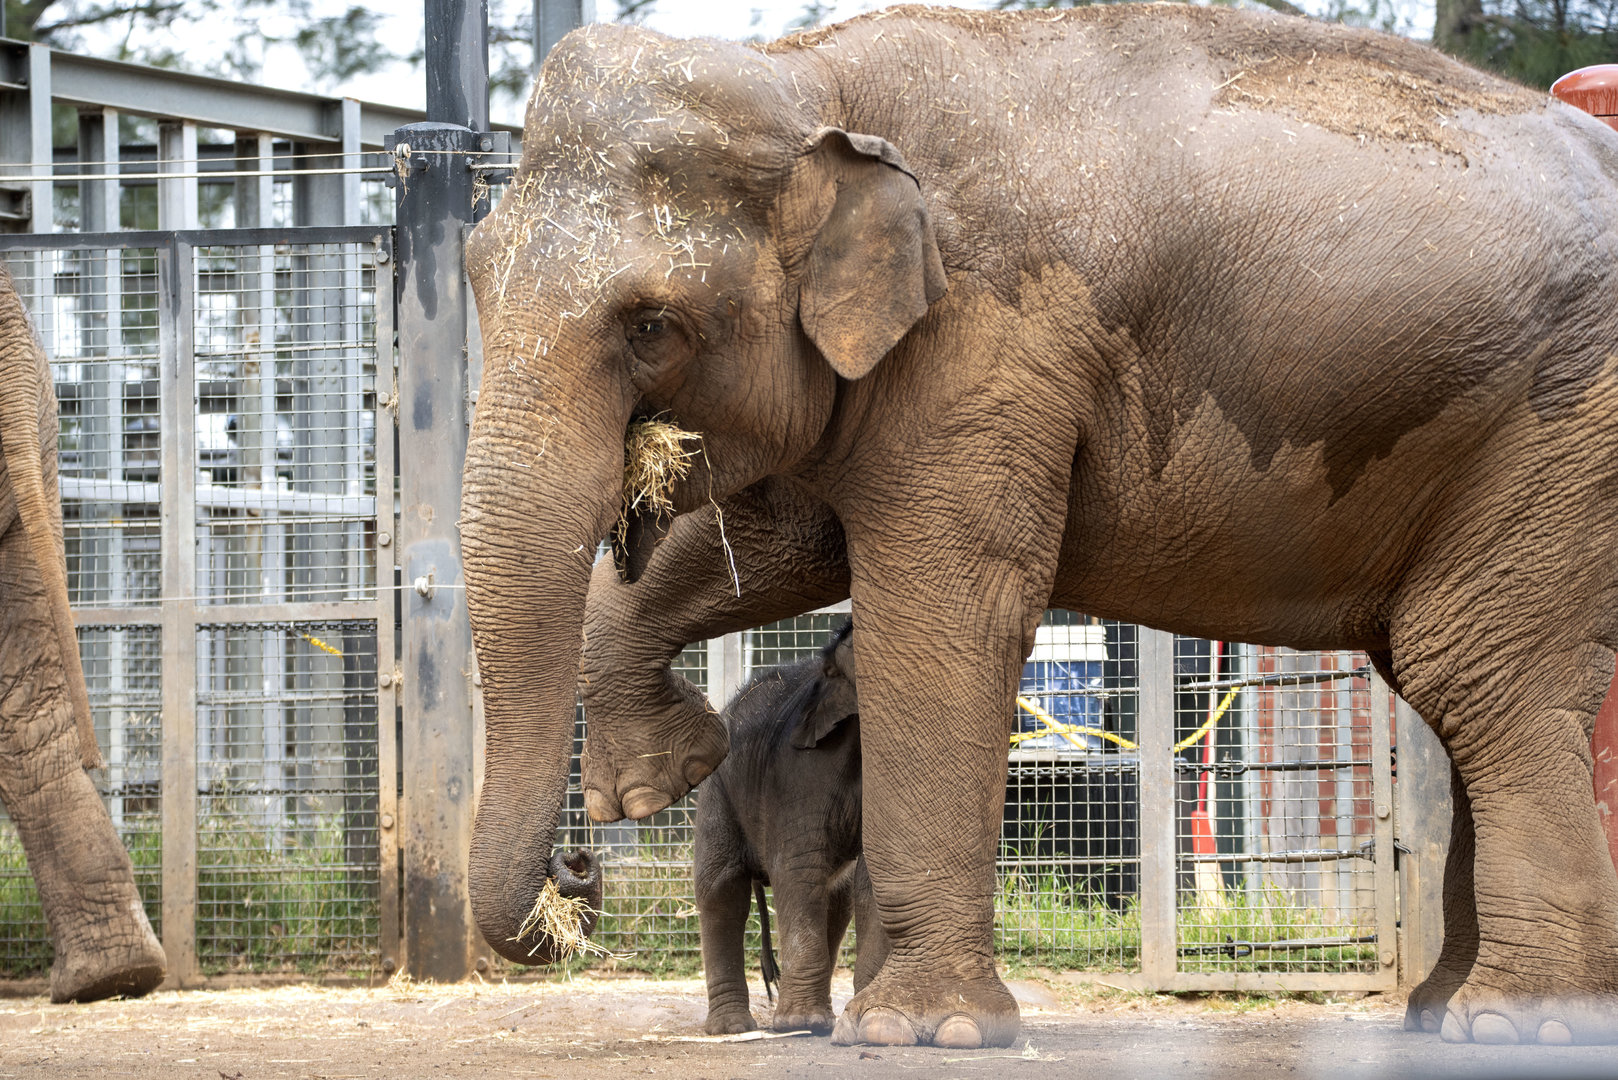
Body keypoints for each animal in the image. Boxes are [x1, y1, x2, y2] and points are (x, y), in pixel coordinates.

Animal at [694, 619, 888, 1035]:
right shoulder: (800, 771)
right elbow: (796, 867)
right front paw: (800, 1022)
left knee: (836, 897)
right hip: (719, 788)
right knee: (721, 887)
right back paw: (735, 1028)